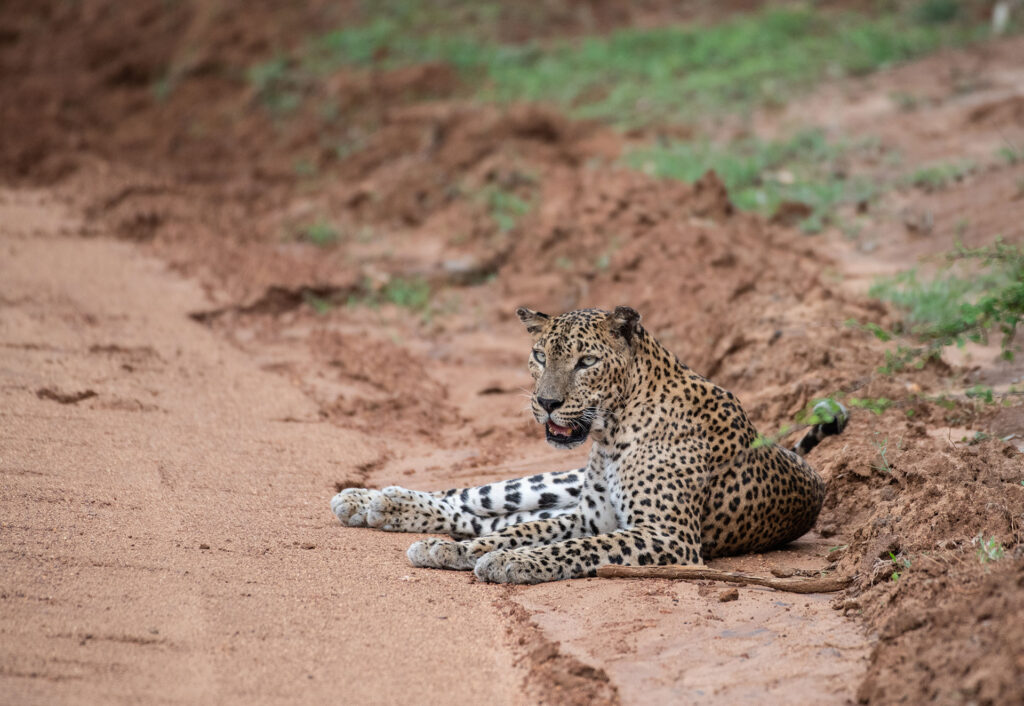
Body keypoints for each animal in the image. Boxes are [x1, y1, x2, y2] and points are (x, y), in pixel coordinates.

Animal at [329, 303, 847, 582]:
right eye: (540, 355)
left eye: (587, 362)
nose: (546, 402)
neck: (612, 433)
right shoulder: (587, 517)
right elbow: (522, 534)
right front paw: (468, 552)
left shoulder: (667, 536)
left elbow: (567, 548)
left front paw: (505, 562)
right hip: (553, 483)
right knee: (474, 500)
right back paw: (371, 501)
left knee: (480, 517)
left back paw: (386, 508)